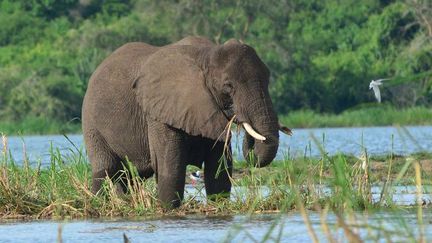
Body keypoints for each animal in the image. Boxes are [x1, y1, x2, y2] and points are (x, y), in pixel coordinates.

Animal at [82, 35, 290, 207]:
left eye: (268, 79)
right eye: (228, 86)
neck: (206, 56)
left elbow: (219, 171)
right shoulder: (158, 112)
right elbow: (171, 169)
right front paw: (169, 210)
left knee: (132, 175)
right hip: (91, 122)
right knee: (106, 169)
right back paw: (99, 203)